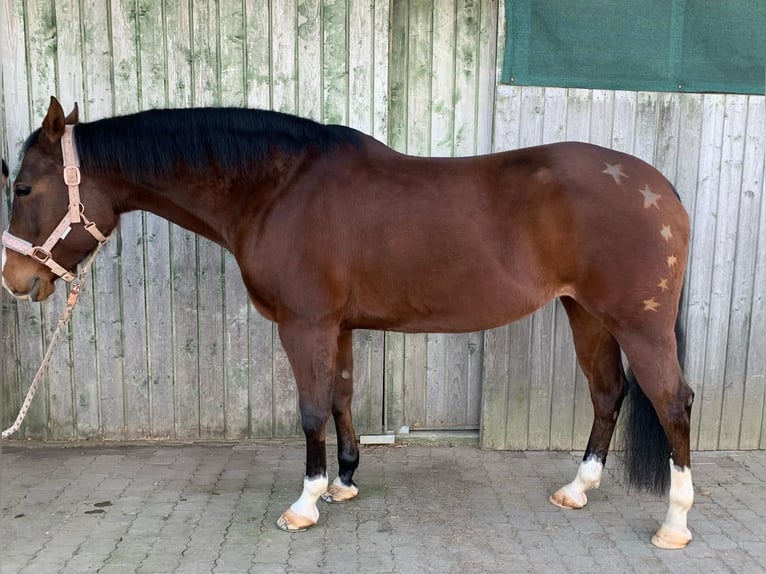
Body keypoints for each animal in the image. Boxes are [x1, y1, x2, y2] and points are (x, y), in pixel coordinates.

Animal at [1, 97, 696, 552]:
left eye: (26, 188)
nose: (14, 280)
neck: (277, 189)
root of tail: (659, 188)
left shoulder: (304, 324)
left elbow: (311, 409)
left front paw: (305, 504)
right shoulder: (335, 326)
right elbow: (339, 397)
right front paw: (344, 483)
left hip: (638, 323)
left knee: (673, 402)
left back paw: (674, 523)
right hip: (586, 313)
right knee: (608, 394)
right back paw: (578, 489)